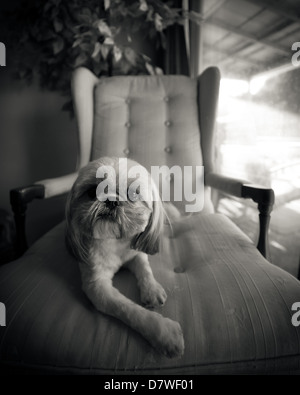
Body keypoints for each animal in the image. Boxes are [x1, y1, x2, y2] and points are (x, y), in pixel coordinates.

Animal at [65, 157, 185, 358]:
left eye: (133, 194)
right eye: (91, 191)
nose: (111, 200)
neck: (114, 241)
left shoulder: (135, 254)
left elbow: (145, 269)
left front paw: (151, 289)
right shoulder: (98, 287)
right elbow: (129, 310)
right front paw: (163, 332)